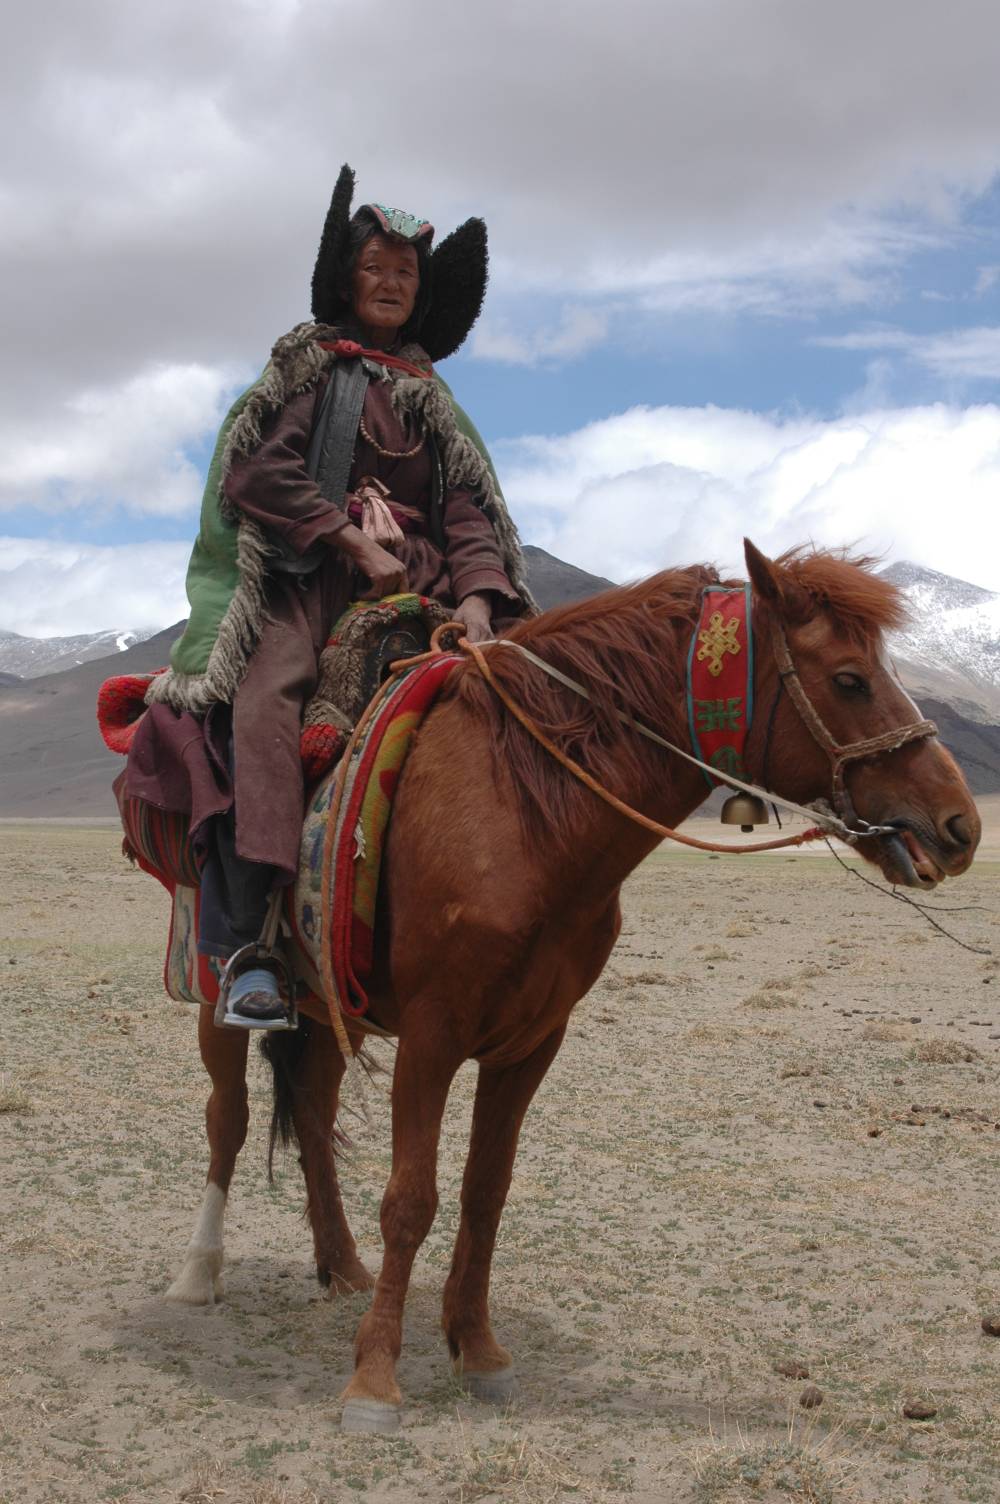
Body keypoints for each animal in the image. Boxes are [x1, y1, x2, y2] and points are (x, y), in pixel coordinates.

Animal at [161, 544, 974, 1431]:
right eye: (851, 678)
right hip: (216, 997)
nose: (961, 825)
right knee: (229, 1119)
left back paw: (339, 1266)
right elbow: (410, 1199)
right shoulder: (433, 1035)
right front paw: (375, 1378)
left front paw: (478, 1349)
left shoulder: (531, 1041)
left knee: (311, 1109)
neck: (523, 813)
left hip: (331, 1009)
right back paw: (199, 1271)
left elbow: (485, 1191)